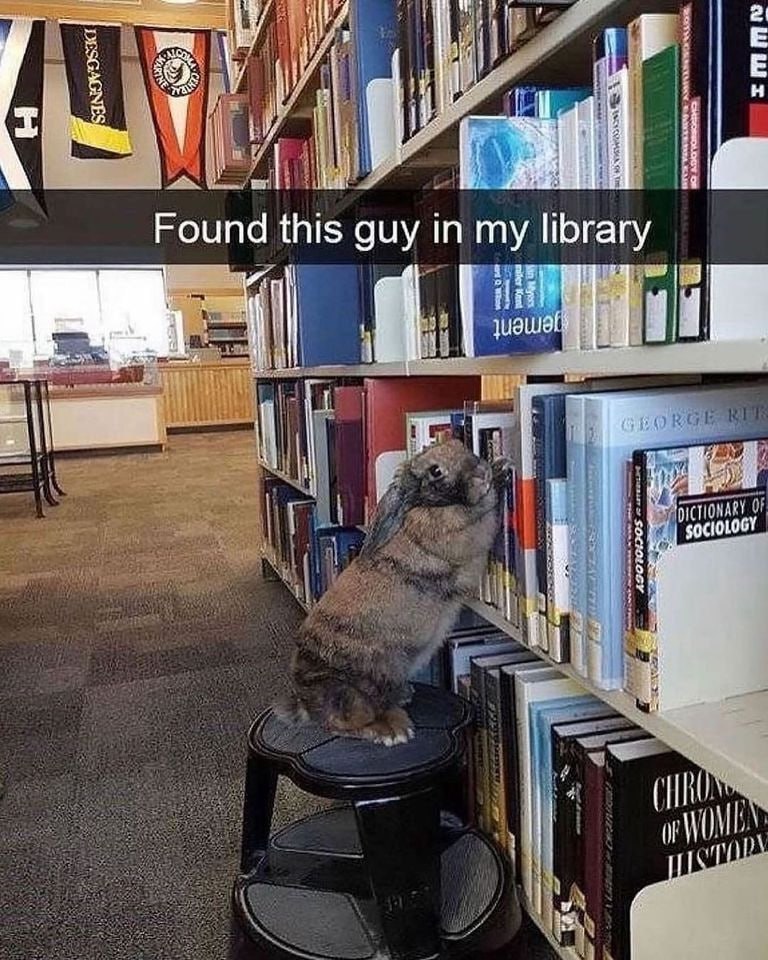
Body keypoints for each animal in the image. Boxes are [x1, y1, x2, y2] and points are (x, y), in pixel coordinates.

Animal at [281, 438, 506, 746]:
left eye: (460, 444)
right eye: (436, 471)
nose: (481, 472)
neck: (426, 506)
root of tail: (305, 700)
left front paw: (500, 466)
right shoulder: (461, 537)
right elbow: (481, 518)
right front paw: (497, 480)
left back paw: (403, 697)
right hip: (354, 695)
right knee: (342, 725)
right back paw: (393, 731)